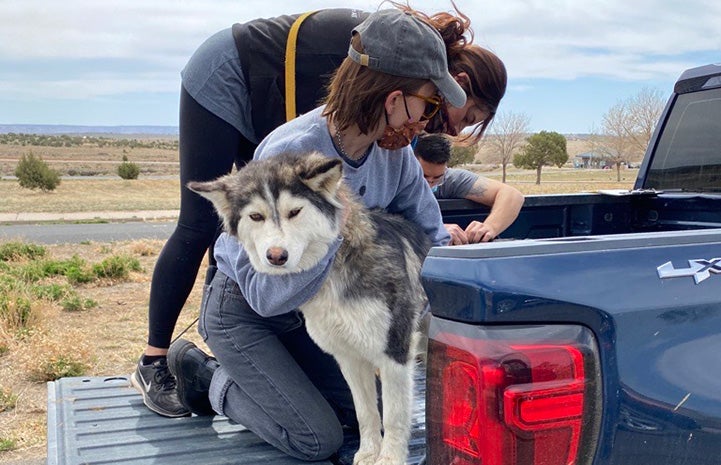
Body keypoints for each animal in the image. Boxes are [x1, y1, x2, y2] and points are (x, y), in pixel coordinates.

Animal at [188, 152, 430, 464]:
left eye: (294, 212)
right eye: (256, 216)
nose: (276, 256)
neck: (335, 267)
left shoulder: (394, 354)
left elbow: (393, 416)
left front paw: (389, 459)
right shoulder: (349, 358)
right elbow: (366, 412)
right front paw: (367, 453)